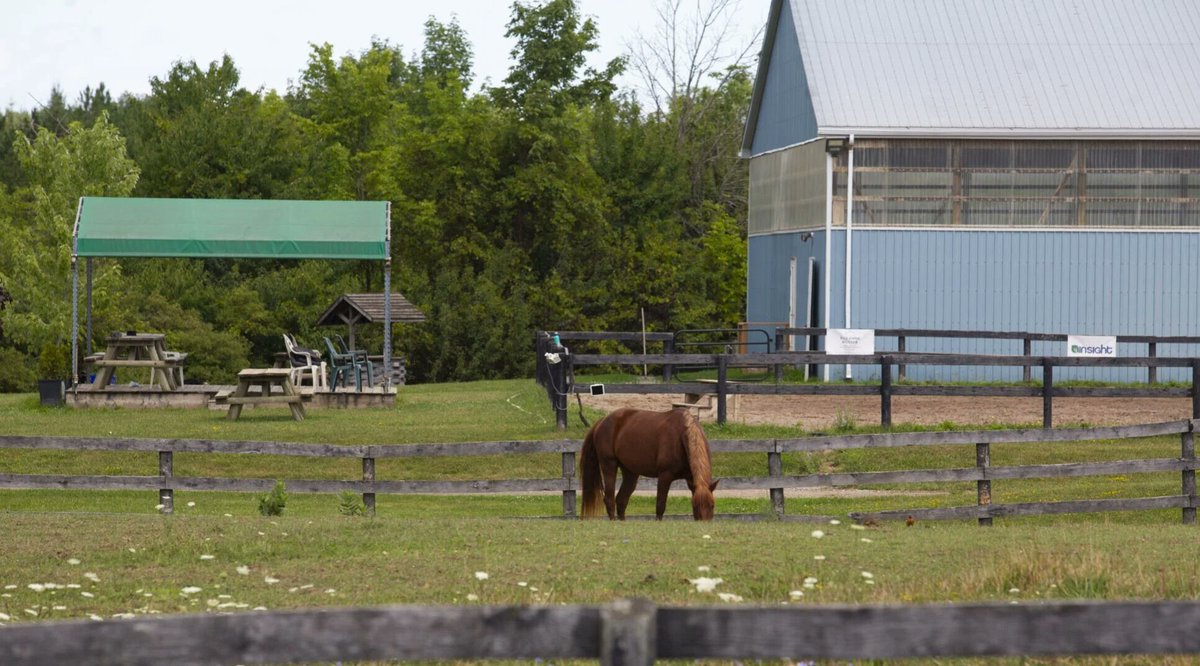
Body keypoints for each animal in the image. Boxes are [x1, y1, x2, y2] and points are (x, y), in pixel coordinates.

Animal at [579, 407, 719, 521]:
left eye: (712, 505)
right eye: (695, 505)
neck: (681, 436)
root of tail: (602, 421)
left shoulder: (691, 479)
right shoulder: (664, 476)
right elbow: (660, 505)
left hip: (630, 473)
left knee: (621, 500)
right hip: (609, 465)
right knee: (609, 499)